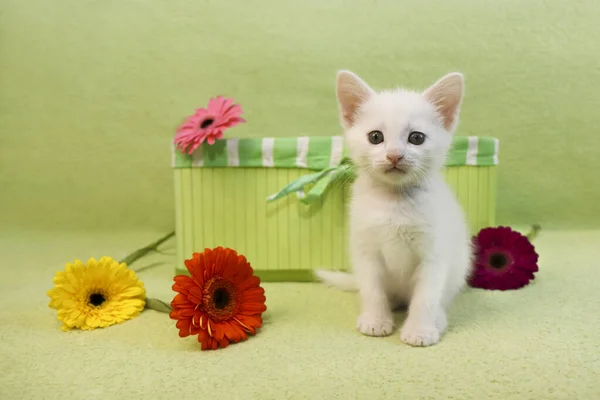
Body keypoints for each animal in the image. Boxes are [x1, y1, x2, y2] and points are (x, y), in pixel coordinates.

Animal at [316, 70, 472, 346]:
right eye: (375, 137)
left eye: (416, 138)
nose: (394, 155)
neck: (394, 201)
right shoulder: (366, 251)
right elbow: (372, 290)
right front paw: (376, 320)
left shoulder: (434, 253)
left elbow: (426, 296)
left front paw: (420, 330)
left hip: (460, 264)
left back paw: (438, 318)